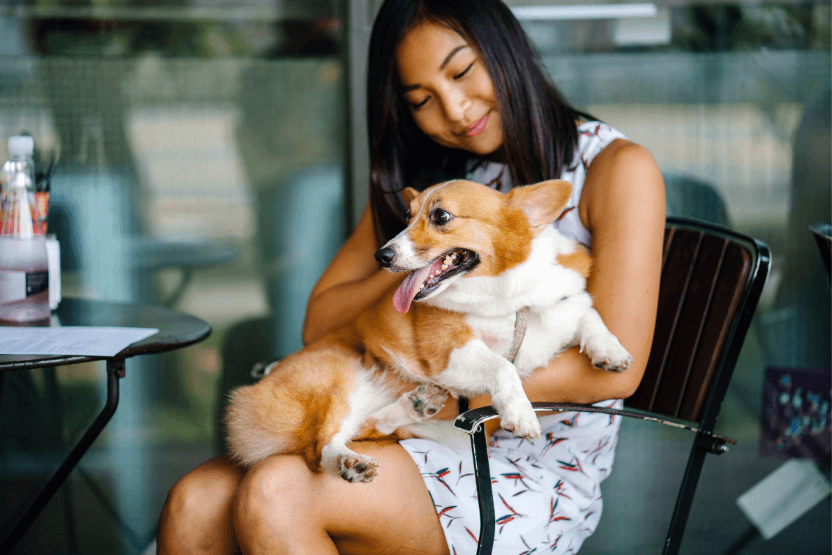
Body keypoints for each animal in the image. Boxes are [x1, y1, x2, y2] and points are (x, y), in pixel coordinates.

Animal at [224, 181, 632, 482]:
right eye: (406, 217)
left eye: (441, 216)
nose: (382, 256)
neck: (511, 296)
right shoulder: (449, 353)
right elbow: (503, 366)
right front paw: (520, 412)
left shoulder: (563, 305)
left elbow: (589, 315)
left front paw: (611, 351)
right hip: (337, 377)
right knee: (320, 446)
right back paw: (347, 462)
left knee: (371, 425)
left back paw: (414, 406)